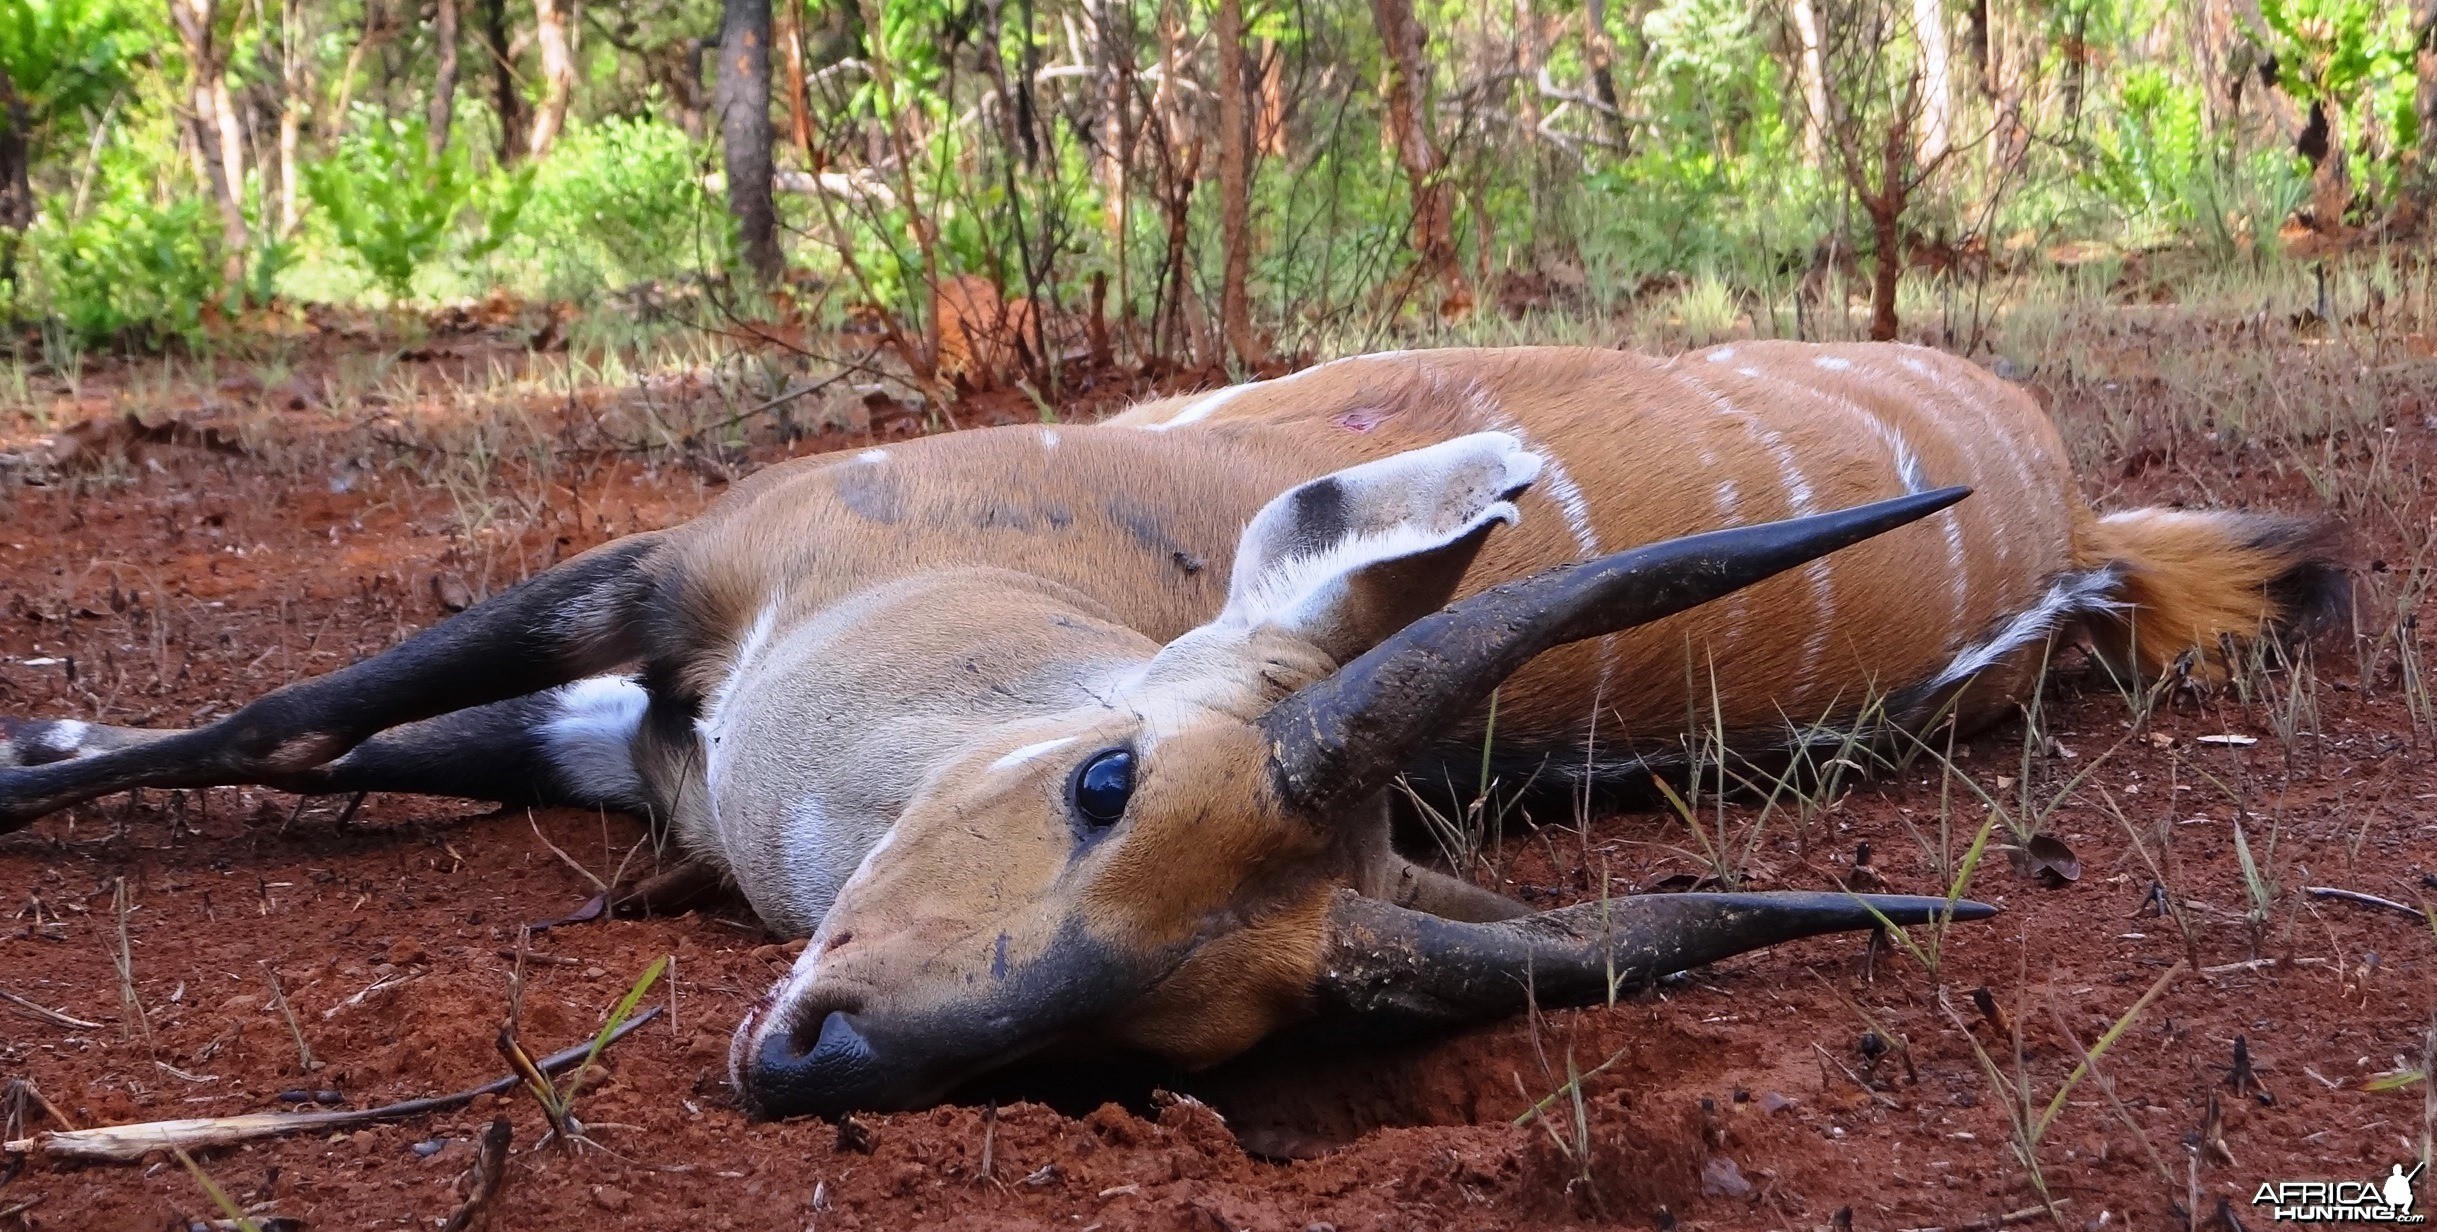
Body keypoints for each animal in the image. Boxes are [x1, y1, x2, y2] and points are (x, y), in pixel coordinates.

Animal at [0, 340, 2339, 1120]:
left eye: (1205, 1031)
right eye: (1105, 775)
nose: (815, 1060)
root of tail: (2078, 523)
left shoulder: (641, 692)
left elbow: (340, 734)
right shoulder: (657, 591)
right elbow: (307, 714)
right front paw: (35, 759)